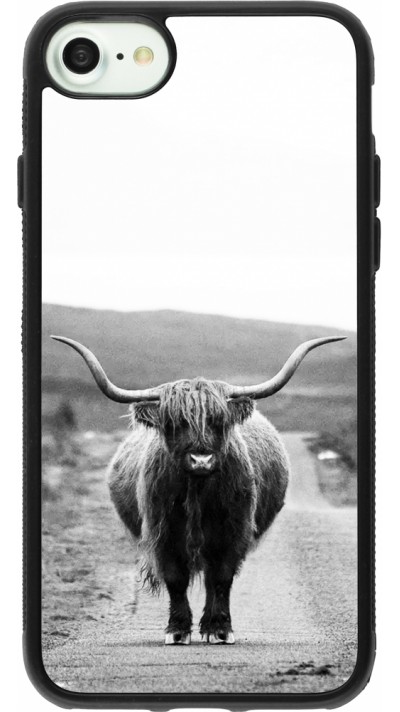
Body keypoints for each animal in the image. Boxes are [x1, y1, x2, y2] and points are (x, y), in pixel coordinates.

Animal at [52, 334, 344, 645]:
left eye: (218, 421)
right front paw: (177, 630)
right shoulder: (163, 533)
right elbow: (175, 579)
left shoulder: (233, 532)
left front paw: (220, 628)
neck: (198, 491)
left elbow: (222, 578)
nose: (201, 459)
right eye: (174, 423)